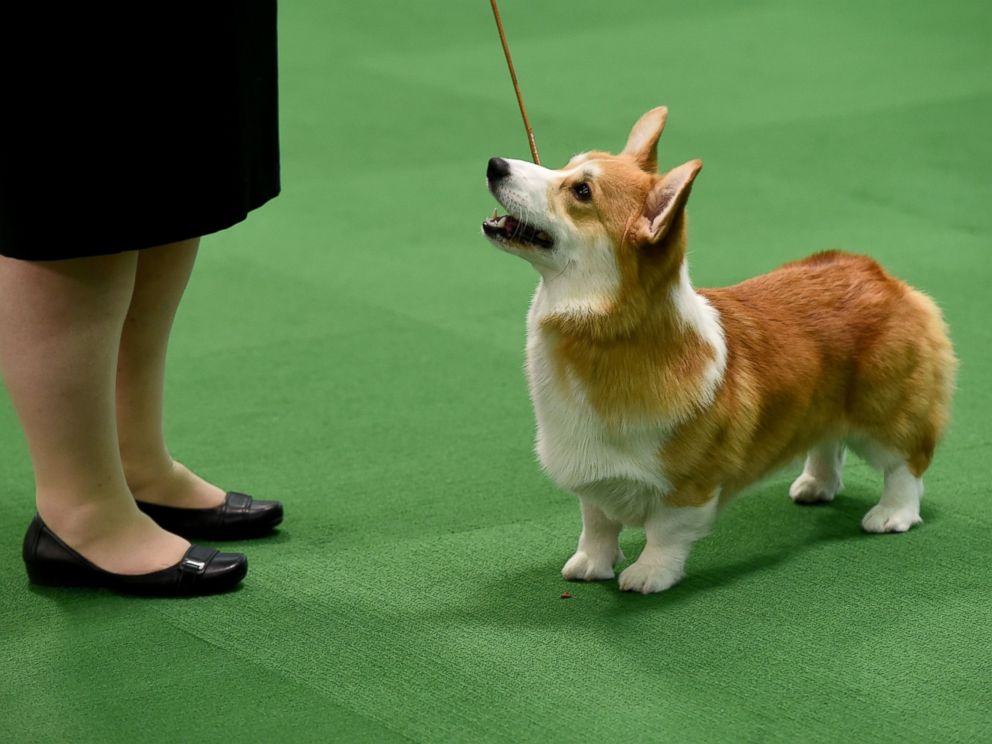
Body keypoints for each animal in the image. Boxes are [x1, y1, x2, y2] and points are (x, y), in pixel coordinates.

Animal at [480, 106, 952, 592]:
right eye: (566, 165)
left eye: (581, 191)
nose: (495, 164)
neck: (601, 331)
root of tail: (880, 275)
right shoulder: (594, 475)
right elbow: (597, 523)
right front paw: (591, 565)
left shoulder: (689, 484)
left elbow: (665, 533)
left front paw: (648, 575)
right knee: (826, 441)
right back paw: (816, 486)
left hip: (885, 412)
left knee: (908, 463)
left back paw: (892, 514)